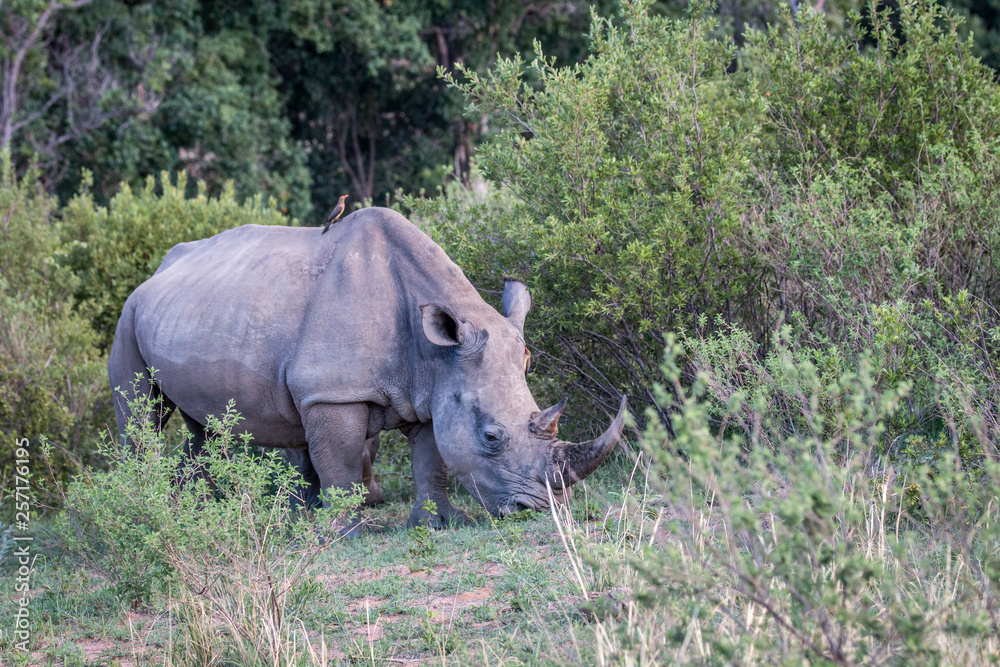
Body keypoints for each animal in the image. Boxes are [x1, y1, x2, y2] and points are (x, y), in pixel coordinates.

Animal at [109, 207, 626, 529]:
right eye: (491, 437)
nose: (535, 509)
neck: (433, 351)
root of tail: (158, 269)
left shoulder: (434, 385)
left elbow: (432, 458)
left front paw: (439, 523)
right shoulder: (332, 392)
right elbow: (337, 460)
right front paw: (344, 531)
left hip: (194, 312)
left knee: (201, 427)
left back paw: (185, 512)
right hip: (128, 313)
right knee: (140, 415)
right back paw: (144, 506)